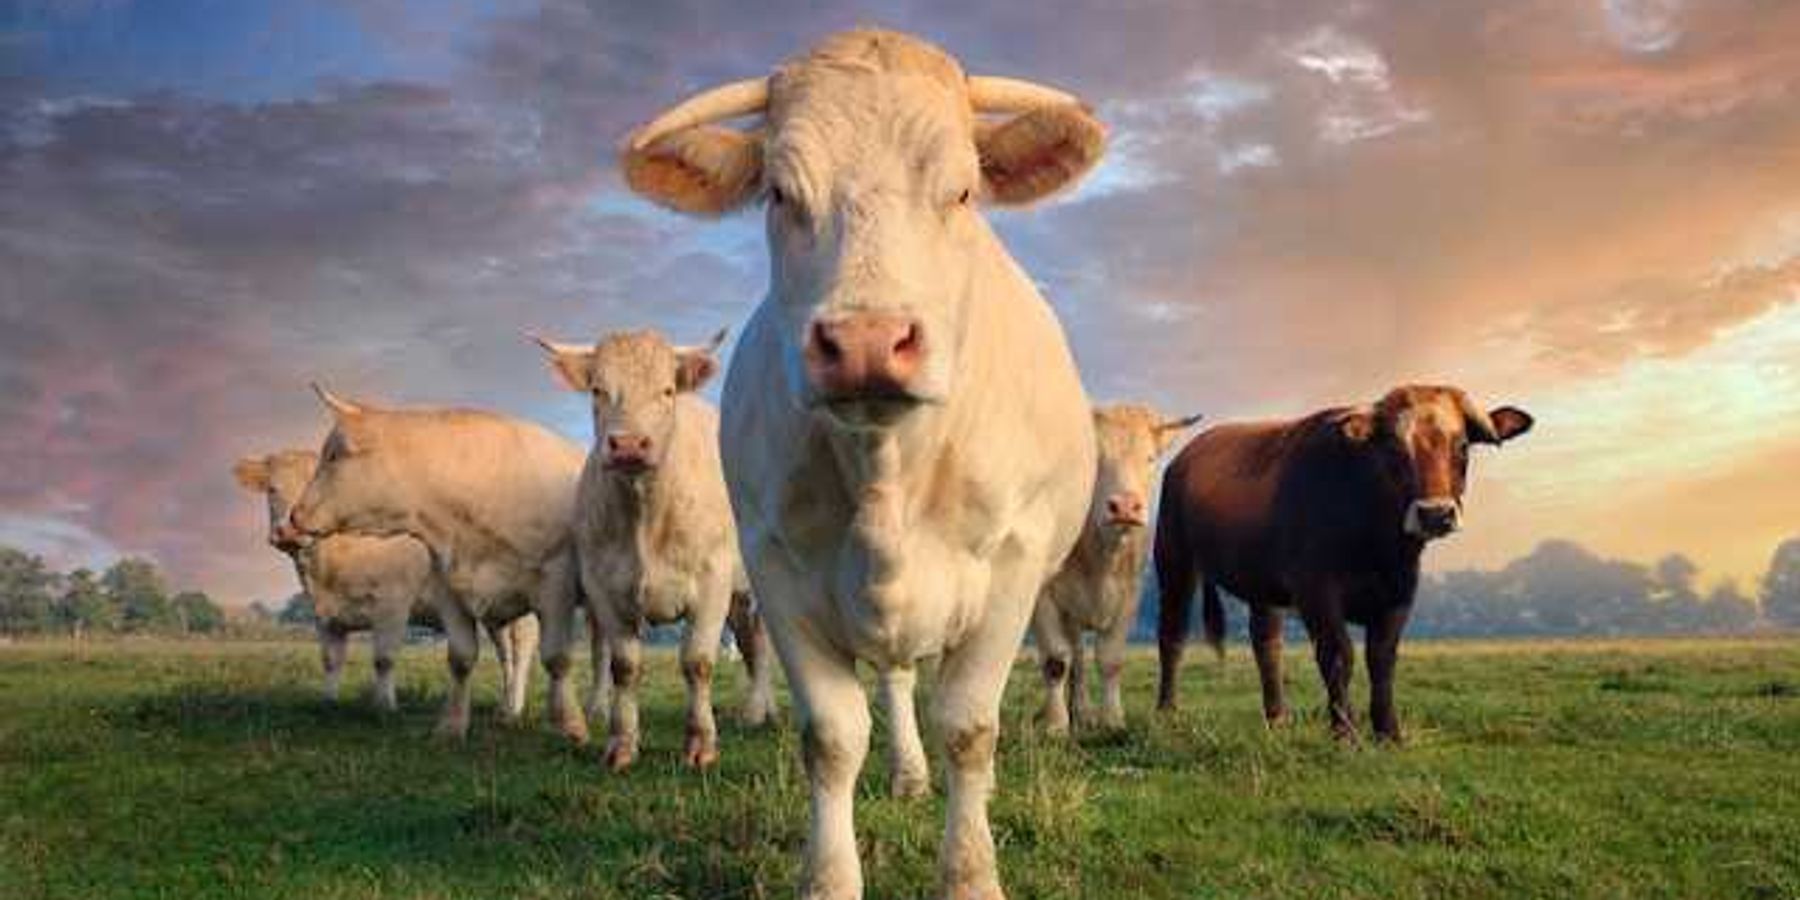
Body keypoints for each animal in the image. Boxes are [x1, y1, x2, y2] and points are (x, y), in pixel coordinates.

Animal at [286, 387, 591, 743]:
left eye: (334, 455)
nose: (294, 516)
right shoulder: (448, 587)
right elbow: (460, 658)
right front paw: (451, 726)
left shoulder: (556, 582)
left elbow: (557, 658)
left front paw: (571, 726)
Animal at [531, 327, 776, 771]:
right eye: (598, 389)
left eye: (667, 390)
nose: (629, 444)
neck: (644, 514)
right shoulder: (603, 585)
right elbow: (624, 666)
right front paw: (622, 744)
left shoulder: (712, 582)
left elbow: (697, 662)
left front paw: (700, 744)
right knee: (751, 642)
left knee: (762, 642)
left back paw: (757, 711)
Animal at [618, 29, 1107, 900]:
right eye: (780, 193)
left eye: (963, 190)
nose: (869, 342)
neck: (887, 470)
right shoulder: (775, 567)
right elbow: (834, 736)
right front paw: (830, 876)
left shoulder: (1014, 569)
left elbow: (969, 727)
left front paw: (971, 875)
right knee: (898, 680)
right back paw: (908, 773)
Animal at [1032, 405, 1199, 734]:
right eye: (1096, 458)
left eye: (1150, 458)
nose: (1124, 506)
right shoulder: (1043, 597)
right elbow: (1055, 661)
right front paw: (1055, 725)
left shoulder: (1129, 595)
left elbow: (1110, 660)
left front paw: (1111, 719)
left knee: (1079, 657)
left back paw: (1083, 712)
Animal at [1154, 385, 1532, 742]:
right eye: (1393, 449)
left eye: (1463, 446)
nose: (1435, 513)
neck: (1377, 543)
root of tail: (1183, 458)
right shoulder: (1315, 591)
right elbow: (1338, 656)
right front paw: (1345, 733)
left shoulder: (1400, 592)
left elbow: (1381, 659)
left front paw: (1388, 733)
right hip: (1174, 561)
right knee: (1172, 635)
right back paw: (1167, 713)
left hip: (1261, 585)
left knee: (1266, 643)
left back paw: (1277, 718)